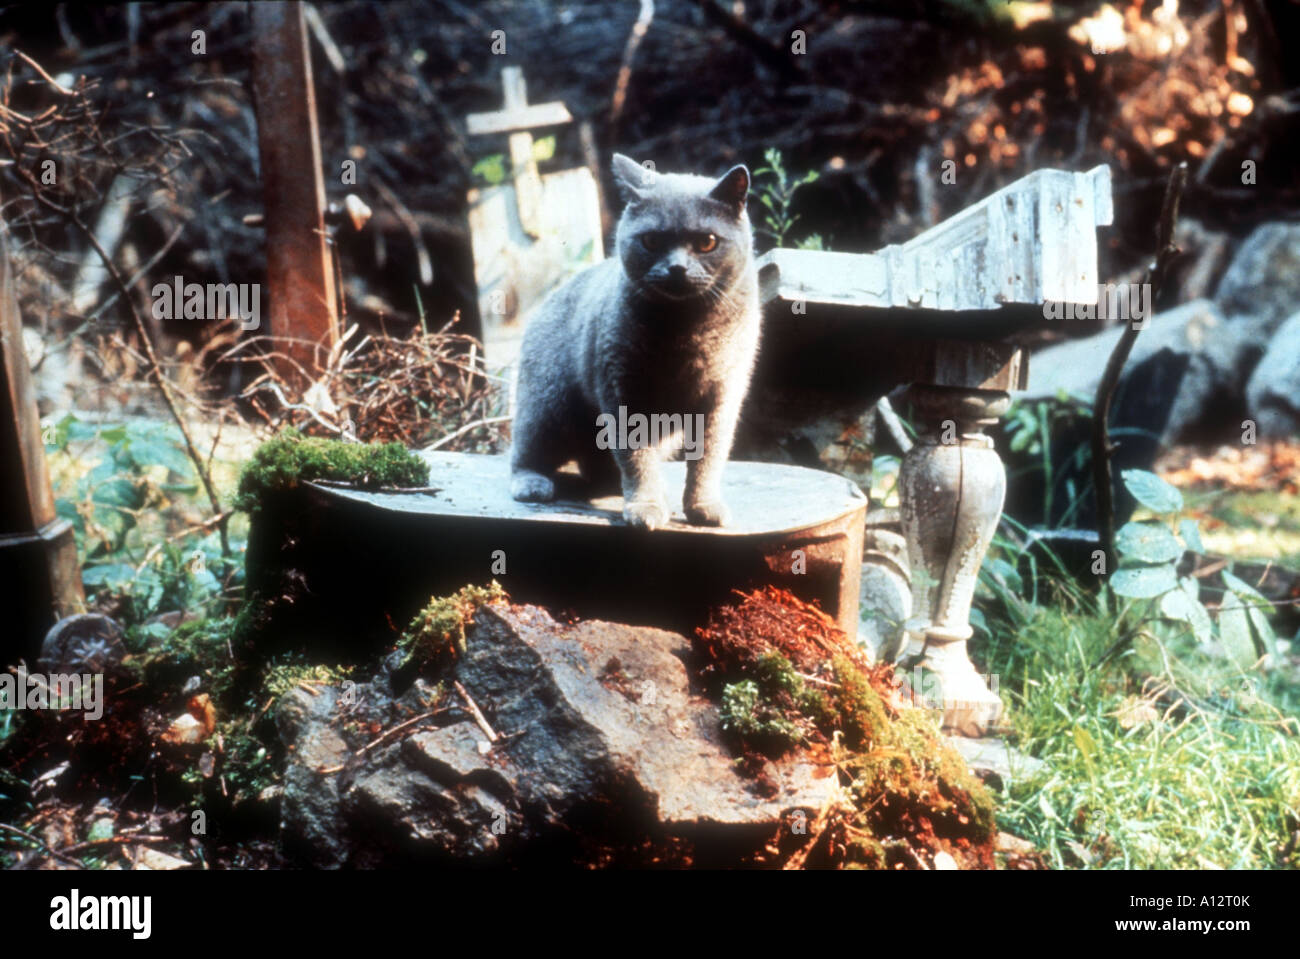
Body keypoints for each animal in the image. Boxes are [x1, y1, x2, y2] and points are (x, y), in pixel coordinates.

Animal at [506, 152, 759, 527]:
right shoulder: (623, 388)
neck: (686, 331)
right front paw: (646, 506)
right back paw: (533, 483)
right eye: (652, 241)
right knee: (526, 449)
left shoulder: (722, 395)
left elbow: (709, 457)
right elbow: (636, 457)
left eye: (707, 242)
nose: (677, 268)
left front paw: (704, 506)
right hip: (548, 404)